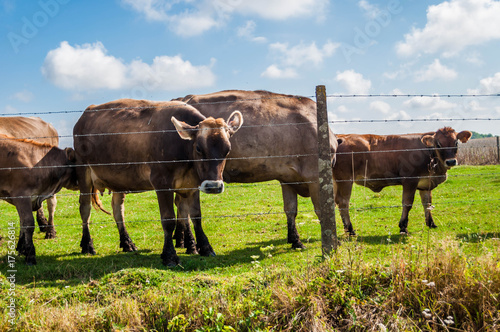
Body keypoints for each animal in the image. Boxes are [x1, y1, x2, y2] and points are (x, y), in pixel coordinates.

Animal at [73, 97, 243, 266]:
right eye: (199, 148)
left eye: (227, 150)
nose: (213, 186)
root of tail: (86, 113)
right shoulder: (162, 183)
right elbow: (168, 219)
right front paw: (169, 255)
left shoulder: (192, 185)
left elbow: (196, 216)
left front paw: (205, 247)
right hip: (83, 171)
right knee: (85, 209)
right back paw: (87, 245)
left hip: (118, 181)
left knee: (118, 210)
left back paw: (127, 243)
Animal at [172, 89, 340, 250]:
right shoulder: (315, 175)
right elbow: (322, 209)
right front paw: (333, 241)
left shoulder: (288, 178)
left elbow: (291, 209)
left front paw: (295, 241)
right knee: (184, 206)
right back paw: (190, 243)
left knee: (180, 204)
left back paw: (181, 240)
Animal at [334, 126, 470, 235]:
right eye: (438, 144)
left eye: (456, 142)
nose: (451, 161)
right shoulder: (410, 180)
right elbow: (407, 203)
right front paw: (403, 227)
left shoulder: (426, 183)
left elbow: (427, 203)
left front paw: (431, 223)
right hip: (345, 180)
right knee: (343, 203)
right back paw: (350, 230)